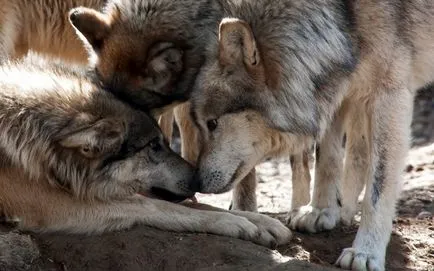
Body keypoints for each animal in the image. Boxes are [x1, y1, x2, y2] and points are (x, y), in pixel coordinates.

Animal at [0, 56, 292, 249]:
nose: (199, 180)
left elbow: (189, 203)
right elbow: (158, 206)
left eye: (164, 142)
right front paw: (232, 223)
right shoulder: (55, 205)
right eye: (153, 146)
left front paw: (261, 222)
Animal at [184, 0, 434, 271]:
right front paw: (321, 212)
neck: (343, 17)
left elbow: (377, 189)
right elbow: (327, 158)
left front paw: (366, 252)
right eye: (203, 123)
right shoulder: (337, 86)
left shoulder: (390, 94)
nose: (195, 182)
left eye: (212, 123)